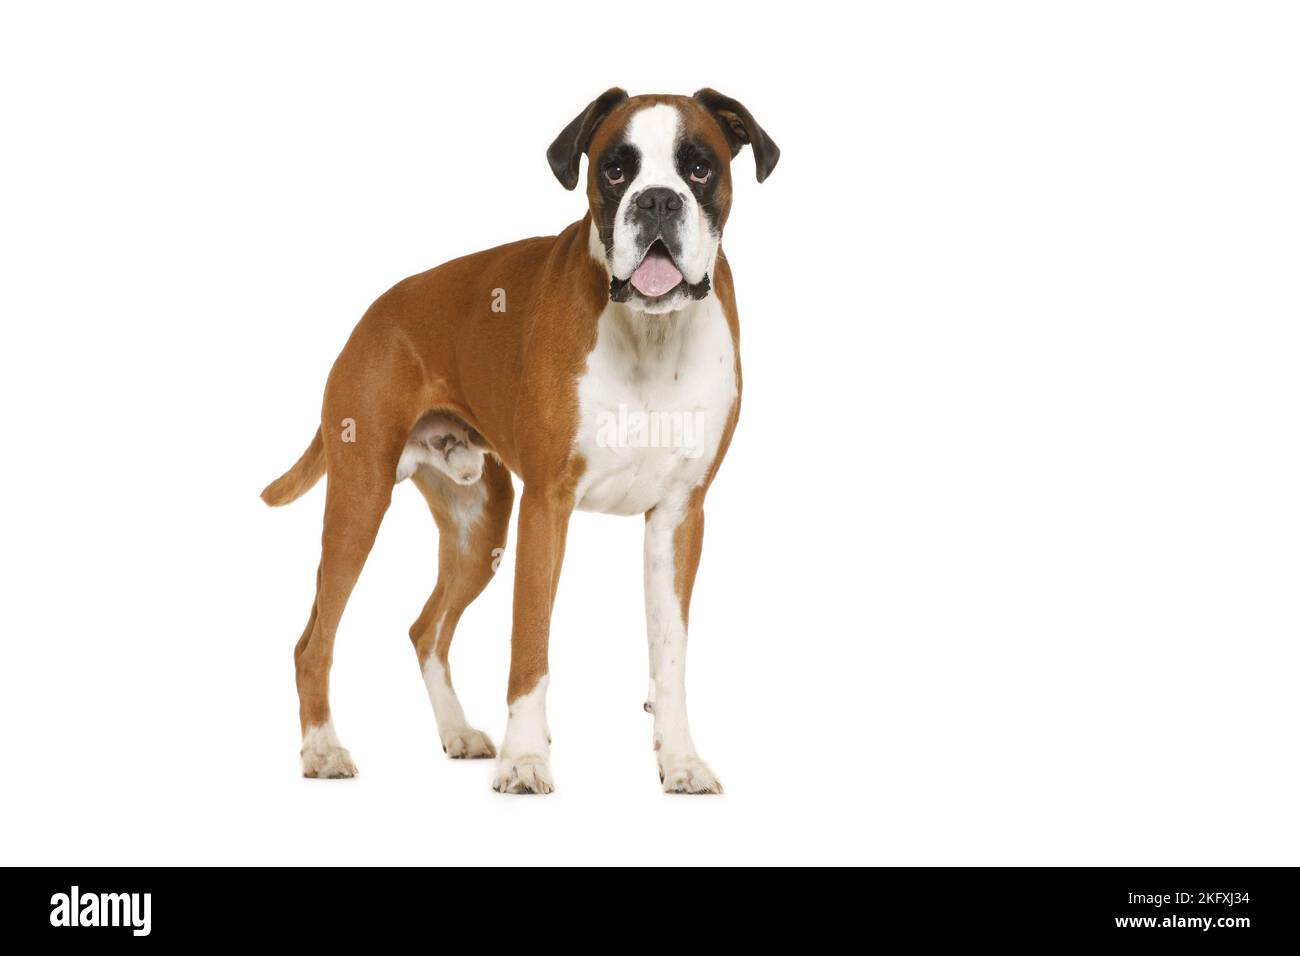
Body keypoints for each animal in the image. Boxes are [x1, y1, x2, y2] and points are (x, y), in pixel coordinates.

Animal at [258, 87, 774, 790]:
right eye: (615, 171)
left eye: (699, 168)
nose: (657, 201)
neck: (650, 334)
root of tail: (376, 310)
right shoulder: (547, 509)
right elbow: (530, 646)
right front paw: (527, 757)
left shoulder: (678, 518)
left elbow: (670, 658)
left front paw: (681, 759)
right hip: (360, 504)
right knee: (313, 641)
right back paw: (322, 749)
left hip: (480, 527)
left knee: (426, 630)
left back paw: (458, 732)